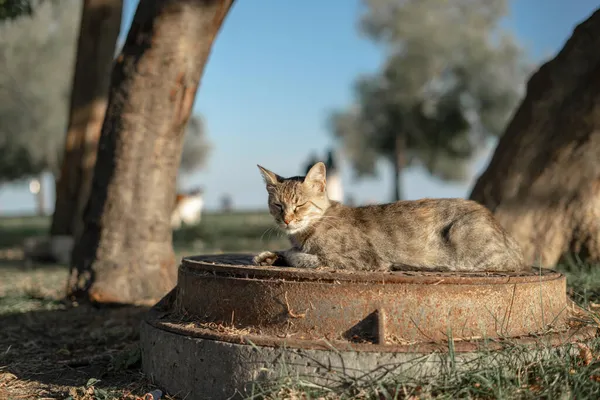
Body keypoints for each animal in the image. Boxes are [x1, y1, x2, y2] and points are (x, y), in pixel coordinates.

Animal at [253, 162, 524, 272]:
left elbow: (302, 257)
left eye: (299, 205)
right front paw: (269, 256)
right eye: (278, 205)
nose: (286, 220)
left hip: (463, 234)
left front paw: (288, 254)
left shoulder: (362, 260)